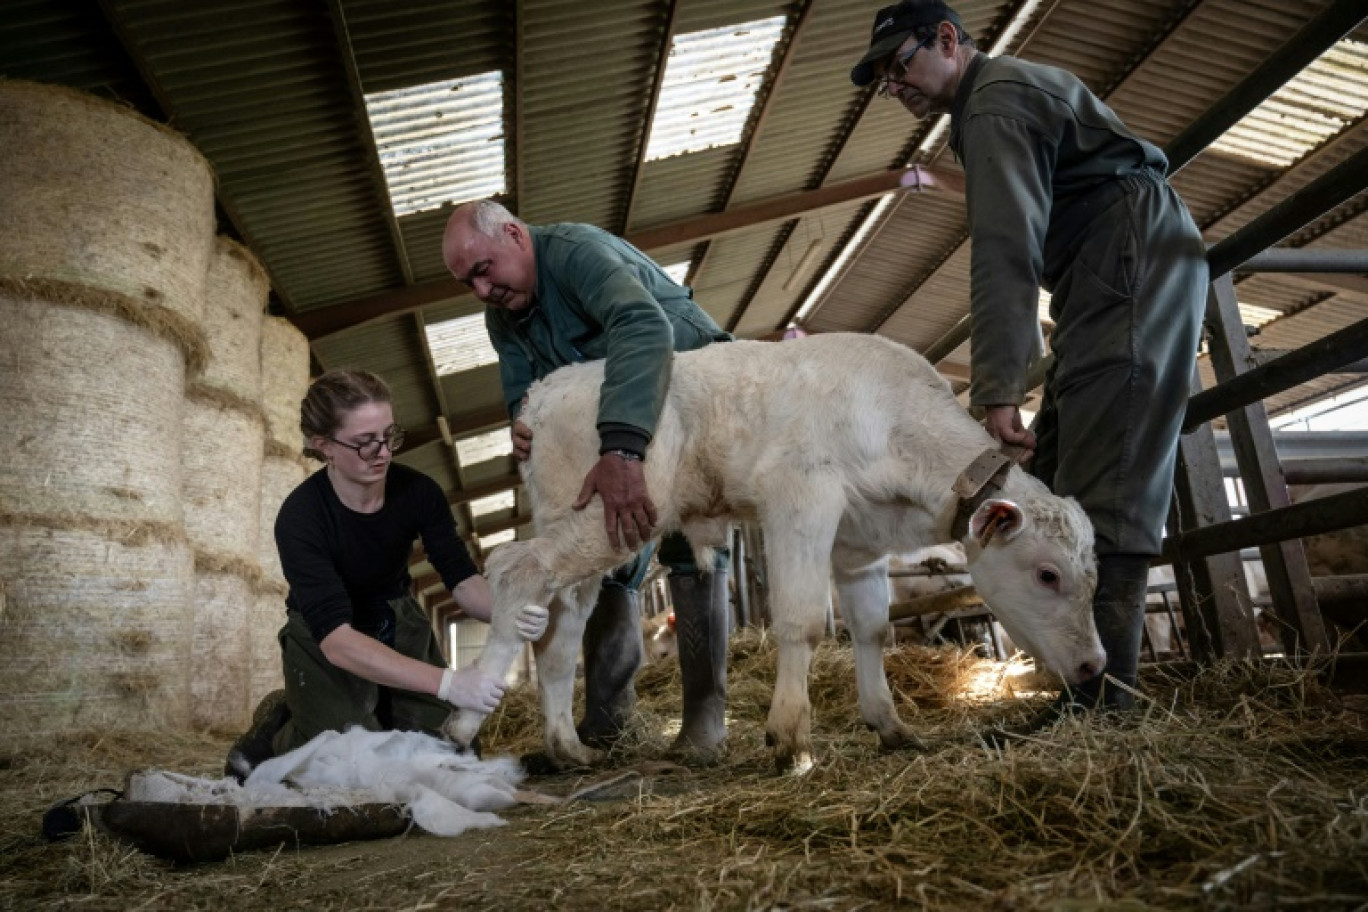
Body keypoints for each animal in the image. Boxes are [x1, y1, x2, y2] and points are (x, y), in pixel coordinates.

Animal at [443, 332, 1105, 765]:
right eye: (1048, 575)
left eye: (1090, 577)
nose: (1094, 665)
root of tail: (547, 388)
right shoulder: (800, 497)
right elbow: (803, 621)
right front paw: (791, 741)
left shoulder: (859, 543)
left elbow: (871, 629)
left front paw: (890, 725)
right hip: (606, 514)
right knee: (517, 571)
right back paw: (464, 722)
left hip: (586, 528)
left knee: (558, 633)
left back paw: (568, 747)